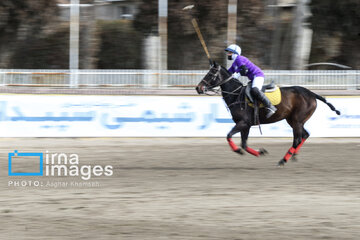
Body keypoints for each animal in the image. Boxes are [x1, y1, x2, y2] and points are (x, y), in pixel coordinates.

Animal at [195, 62, 338, 166]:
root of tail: (312, 94)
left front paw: (238, 151)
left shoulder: (243, 123)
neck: (236, 95)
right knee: (305, 135)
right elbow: (244, 144)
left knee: (297, 139)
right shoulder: (246, 125)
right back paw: (293, 156)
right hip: (293, 120)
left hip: (297, 120)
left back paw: (283, 160)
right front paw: (260, 152)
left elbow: (229, 136)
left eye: (210, 74)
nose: (198, 88)